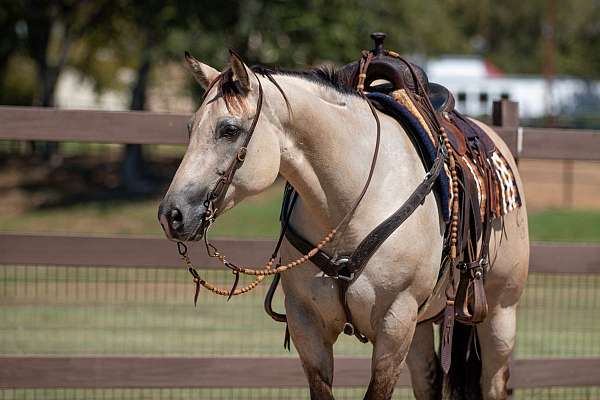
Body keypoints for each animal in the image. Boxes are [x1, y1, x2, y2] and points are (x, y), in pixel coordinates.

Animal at [157, 35, 528, 400]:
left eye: (229, 129)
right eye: (190, 128)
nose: (171, 214)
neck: (349, 205)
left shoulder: (395, 323)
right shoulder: (307, 323)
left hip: (499, 314)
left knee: (494, 381)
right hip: (422, 324)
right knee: (429, 380)